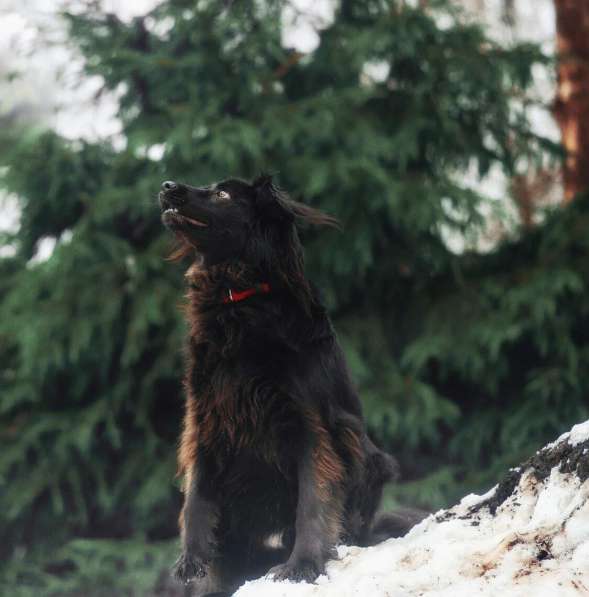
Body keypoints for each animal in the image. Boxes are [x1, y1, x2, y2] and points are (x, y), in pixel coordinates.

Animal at [158, 175, 420, 592]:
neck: (238, 299)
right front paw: (193, 557)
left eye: (222, 194)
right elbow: (196, 493)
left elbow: (311, 502)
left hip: (370, 456)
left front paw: (303, 564)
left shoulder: (312, 427)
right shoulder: (206, 419)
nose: (167, 184)